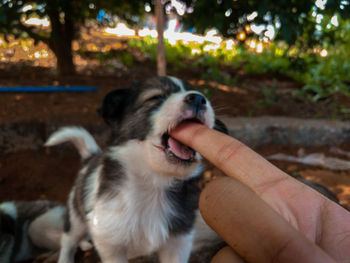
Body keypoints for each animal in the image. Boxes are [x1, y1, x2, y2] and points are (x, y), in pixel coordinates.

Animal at [45, 77, 216, 263]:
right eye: (155, 97)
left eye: (203, 96)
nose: (198, 99)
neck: (155, 184)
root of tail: (91, 157)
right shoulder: (110, 245)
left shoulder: (179, 242)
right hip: (75, 213)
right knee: (68, 238)